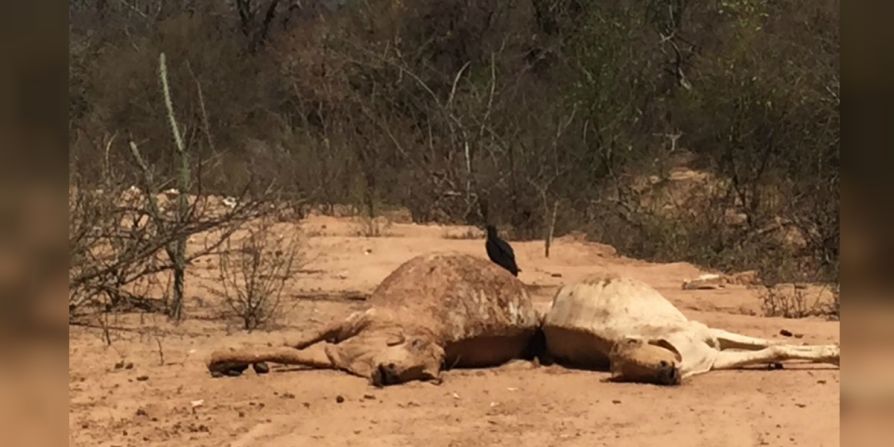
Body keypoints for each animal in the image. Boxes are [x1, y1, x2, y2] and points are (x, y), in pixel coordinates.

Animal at [207, 254, 544, 386]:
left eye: (430, 373)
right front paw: (225, 360)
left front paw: (229, 361)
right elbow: (294, 341)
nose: (392, 373)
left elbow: (290, 352)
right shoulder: (352, 319)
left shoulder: (337, 356)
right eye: (415, 344)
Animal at [544, 274, 844, 386]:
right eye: (631, 372)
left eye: (636, 346)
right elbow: (774, 349)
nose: (666, 373)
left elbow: (772, 344)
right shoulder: (715, 359)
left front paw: (835, 353)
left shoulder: (709, 332)